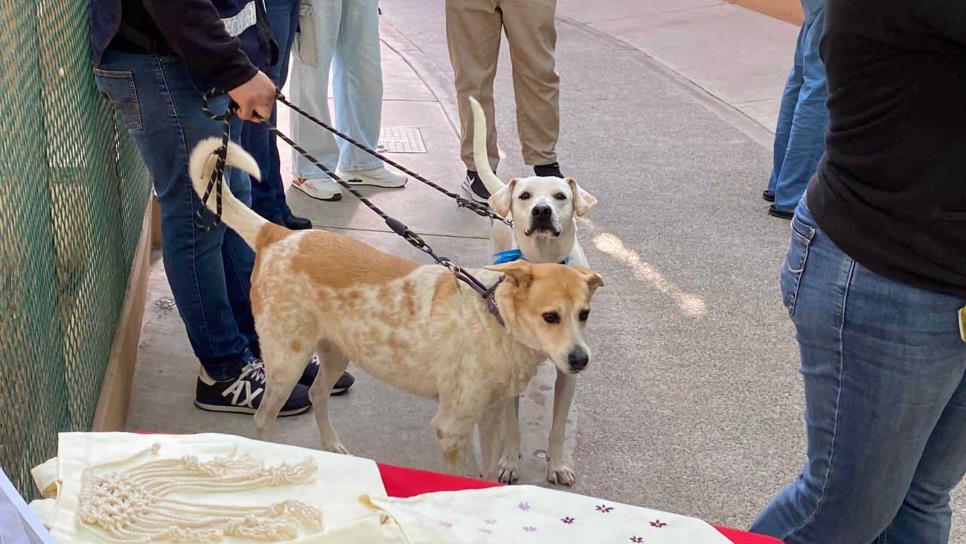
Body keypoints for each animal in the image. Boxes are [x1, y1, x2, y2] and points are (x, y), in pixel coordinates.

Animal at [468, 95, 596, 486]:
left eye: (560, 196)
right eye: (525, 196)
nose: (541, 210)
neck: (544, 266)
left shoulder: (569, 374)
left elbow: (557, 428)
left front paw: (557, 465)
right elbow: (511, 426)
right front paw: (509, 461)